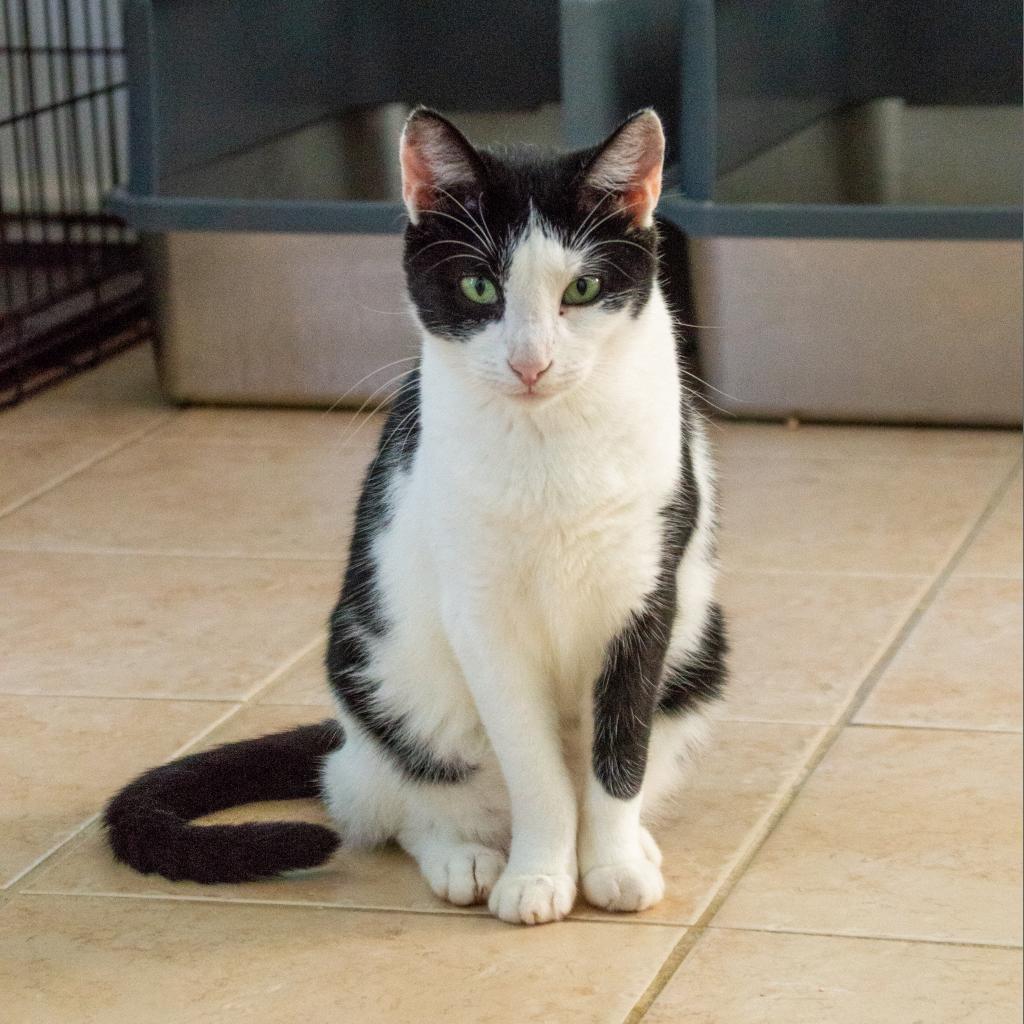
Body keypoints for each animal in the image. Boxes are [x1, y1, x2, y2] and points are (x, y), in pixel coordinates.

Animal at [103, 105, 729, 929]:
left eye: (585, 287)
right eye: (479, 286)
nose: (530, 362)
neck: (550, 441)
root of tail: (343, 739)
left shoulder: (647, 592)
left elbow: (619, 752)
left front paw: (614, 863)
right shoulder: (482, 613)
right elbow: (534, 769)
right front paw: (538, 874)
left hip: (698, 656)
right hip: (388, 679)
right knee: (394, 801)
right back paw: (466, 856)